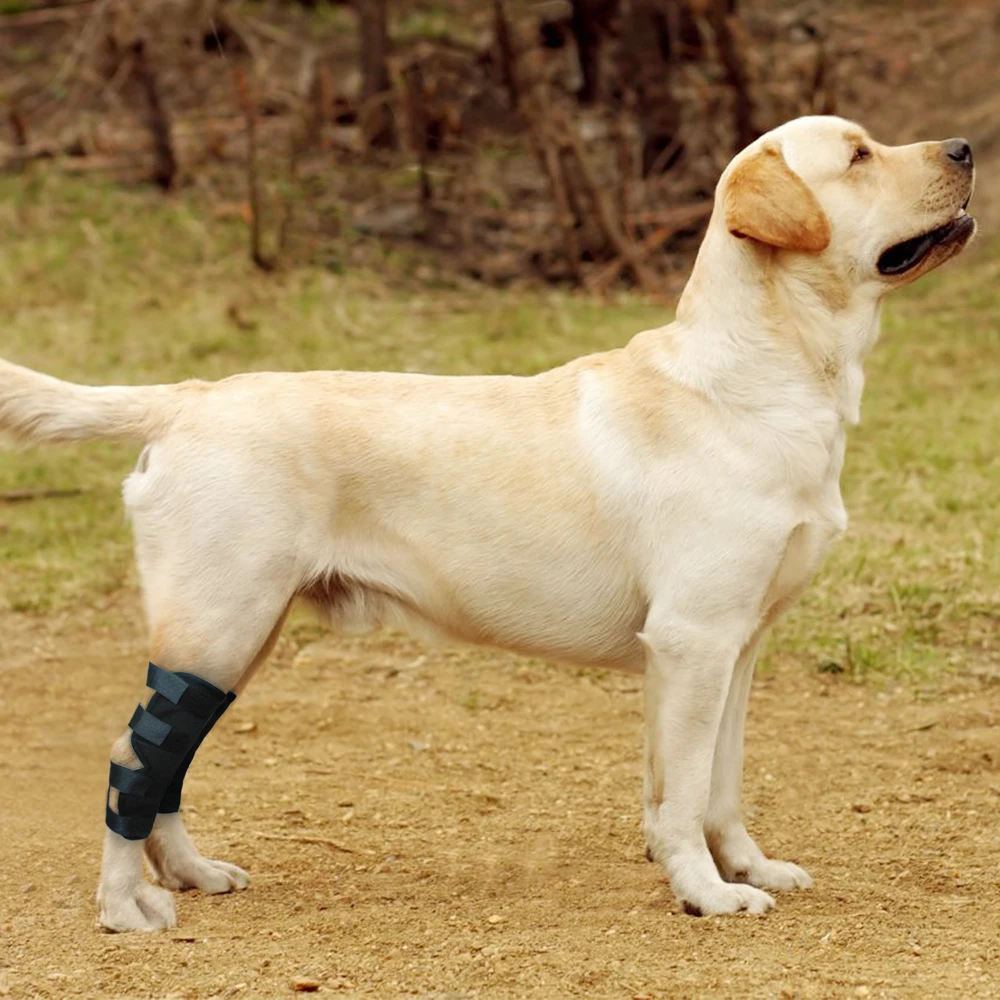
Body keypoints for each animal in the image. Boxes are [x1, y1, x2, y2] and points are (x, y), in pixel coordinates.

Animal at [0, 115, 976, 928]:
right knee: (134, 761)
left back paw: (193, 875)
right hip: (214, 626)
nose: (967, 148)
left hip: (237, 635)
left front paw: (748, 868)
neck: (758, 378)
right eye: (858, 156)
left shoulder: (736, 646)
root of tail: (187, 399)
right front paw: (706, 893)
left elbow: (716, 786)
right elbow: (686, 793)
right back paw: (125, 907)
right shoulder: (694, 639)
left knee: (166, 765)